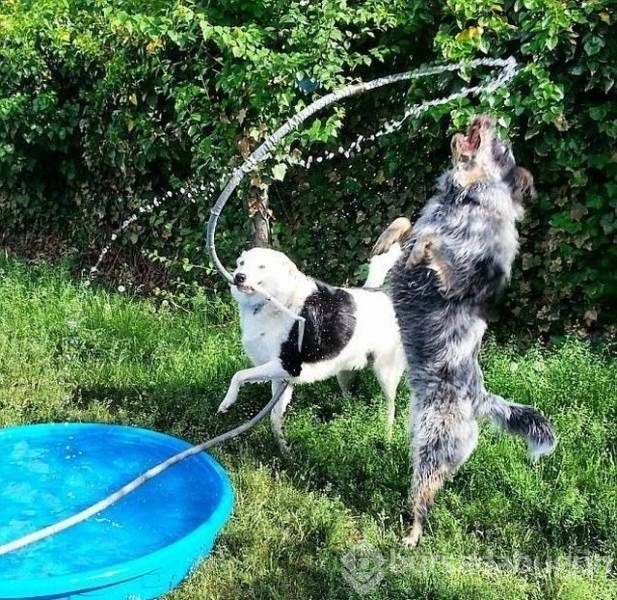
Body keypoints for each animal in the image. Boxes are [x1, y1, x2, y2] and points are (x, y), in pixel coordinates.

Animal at [219, 220, 412, 450]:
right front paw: (284, 450)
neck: (275, 302)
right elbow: (274, 418)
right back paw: (347, 417)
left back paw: (387, 438)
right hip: (343, 371)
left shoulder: (289, 365)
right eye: (241, 263)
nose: (238, 277)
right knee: (349, 396)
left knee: (391, 406)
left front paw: (227, 402)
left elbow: (238, 375)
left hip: (387, 372)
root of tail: (385, 292)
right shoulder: (281, 378)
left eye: (262, 266)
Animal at [392, 113, 556, 548]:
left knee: (424, 499)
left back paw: (411, 537)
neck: (462, 199)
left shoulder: (458, 277)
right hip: (421, 438)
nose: (488, 115)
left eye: (503, 144)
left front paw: (420, 250)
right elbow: (405, 225)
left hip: (434, 448)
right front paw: (391, 239)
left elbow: (431, 247)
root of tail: (480, 399)